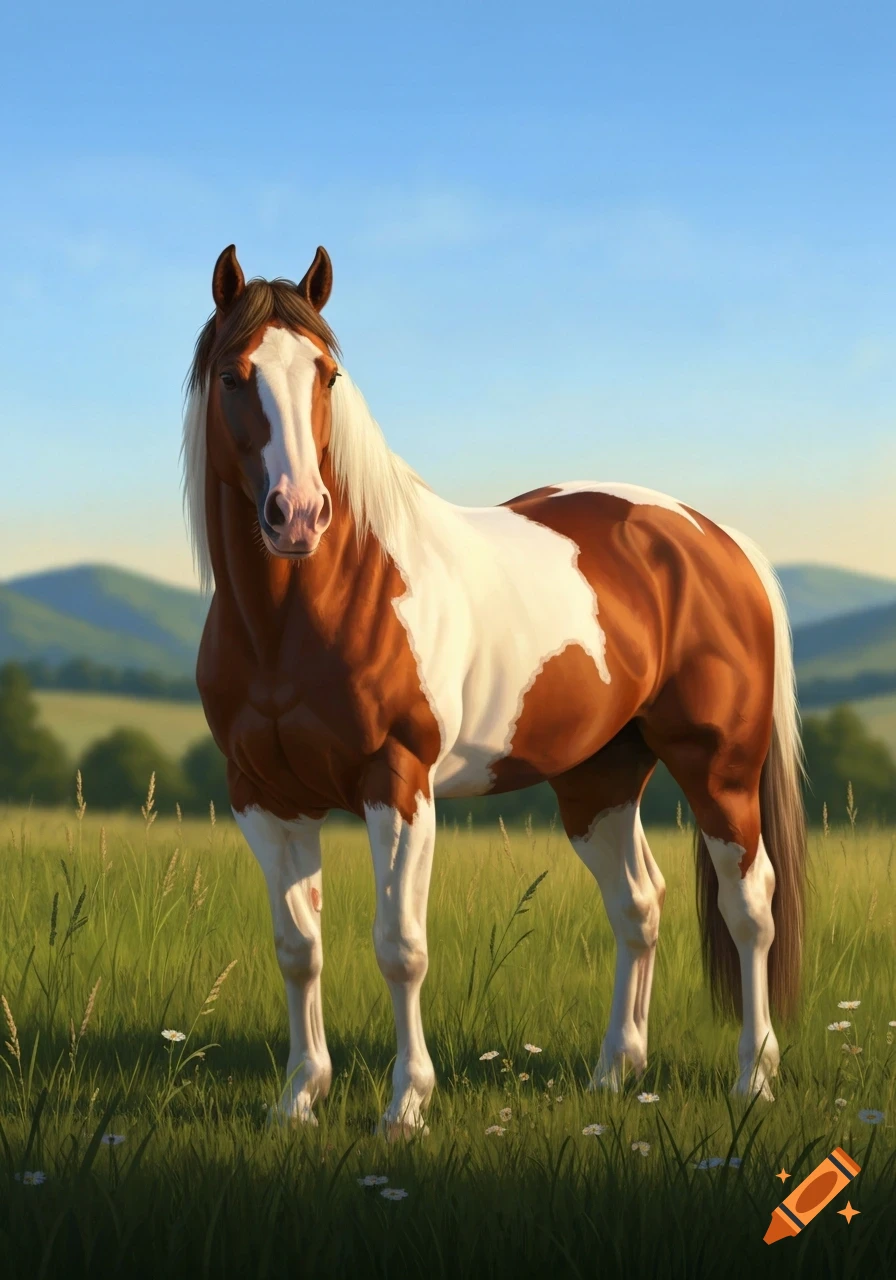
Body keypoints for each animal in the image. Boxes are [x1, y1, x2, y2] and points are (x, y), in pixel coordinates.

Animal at [182, 244, 807, 1136]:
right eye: (236, 377)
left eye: (328, 375)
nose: (298, 515)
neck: (309, 608)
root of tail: (715, 539)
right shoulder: (264, 796)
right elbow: (298, 949)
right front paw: (298, 1100)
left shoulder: (398, 784)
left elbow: (400, 947)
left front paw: (405, 1107)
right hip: (598, 781)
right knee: (638, 905)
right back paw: (613, 1075)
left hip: (719, 770)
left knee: (749, 905)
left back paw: (752, 1079)